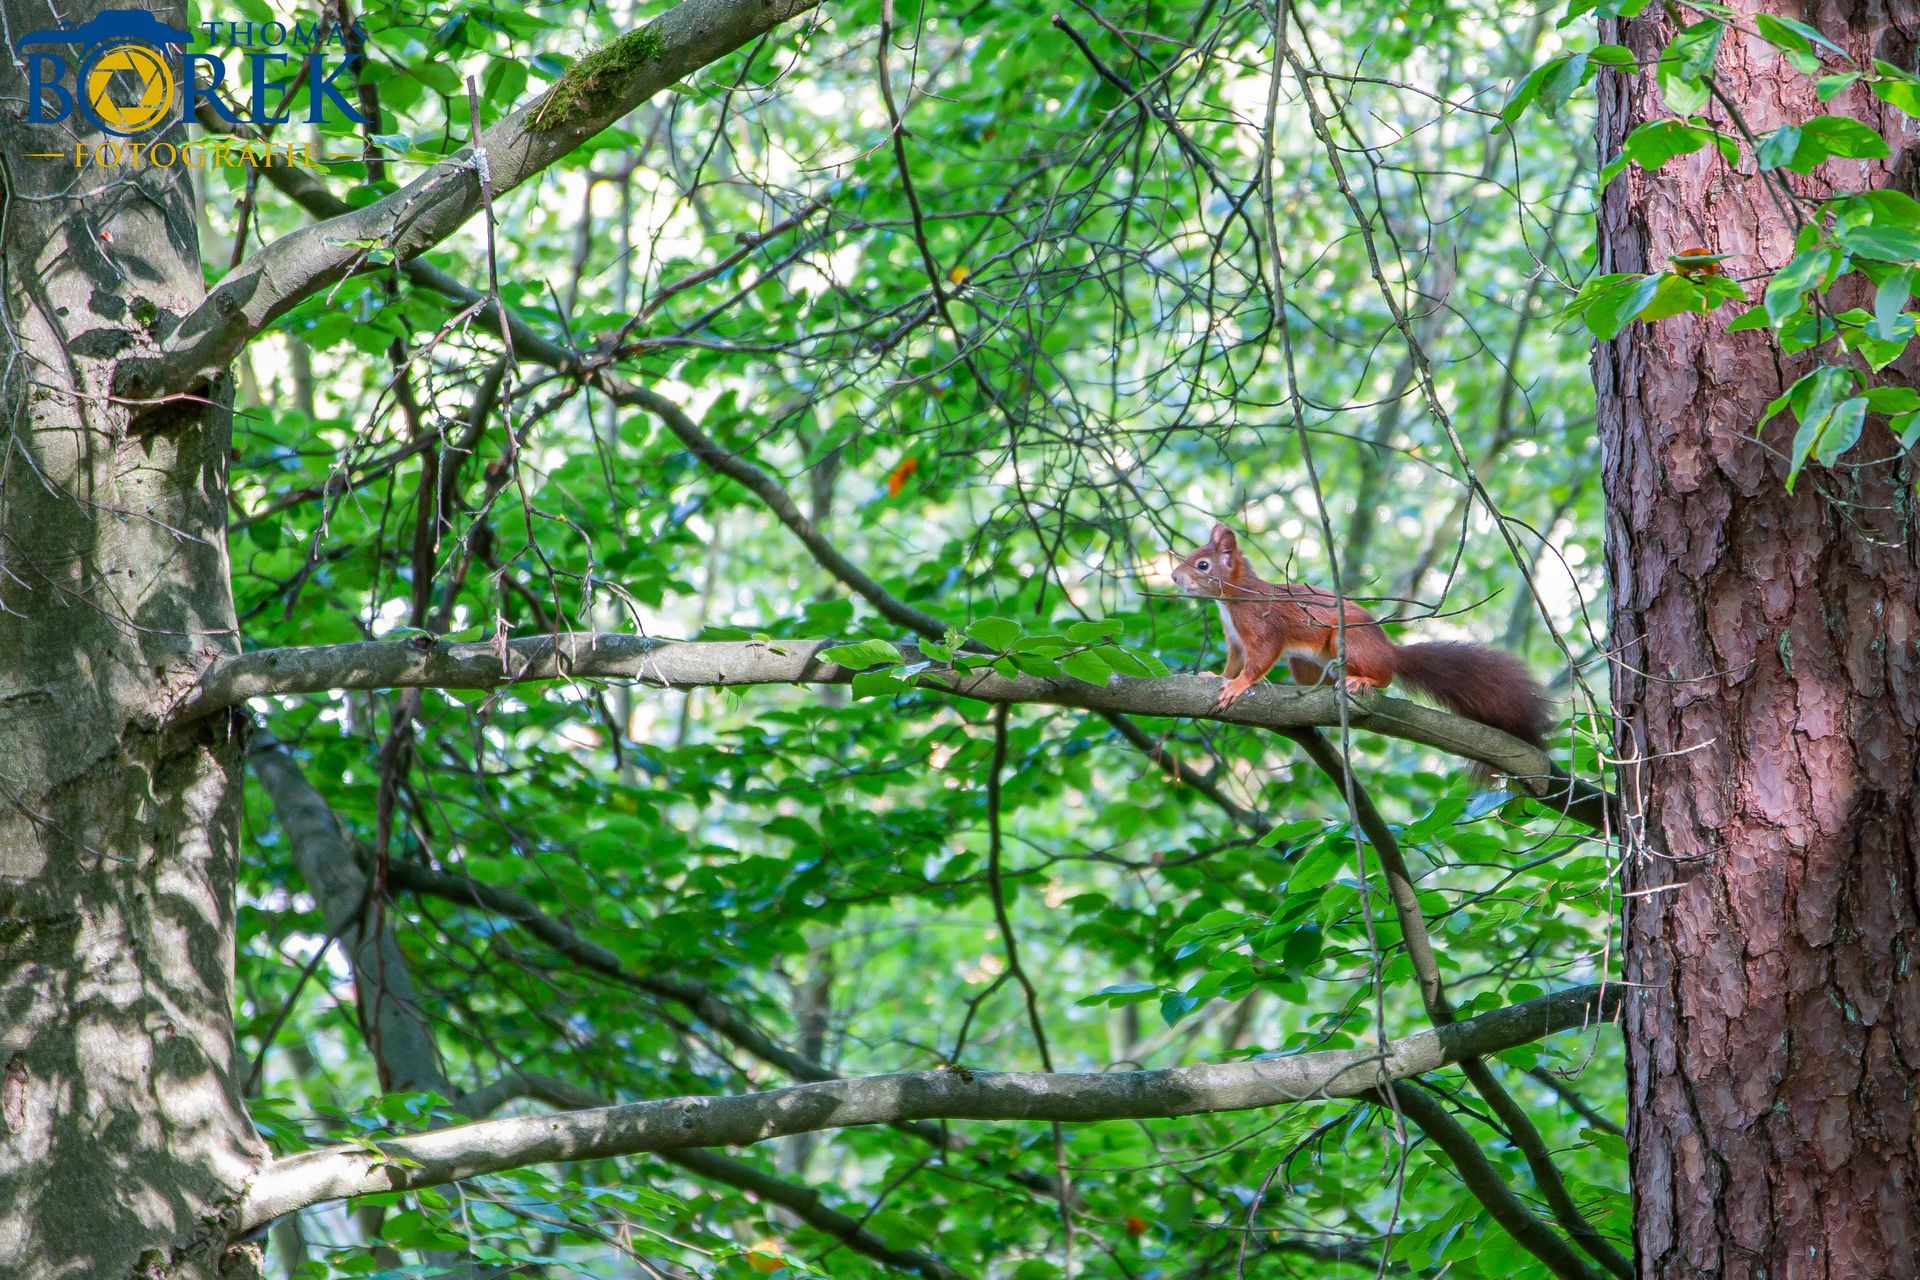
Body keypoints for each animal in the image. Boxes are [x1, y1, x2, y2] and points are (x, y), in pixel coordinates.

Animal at [1171, 522, 1549, 748]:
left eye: (1202, 565)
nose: (1174, 577)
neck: (1232, 599)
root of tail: (1388, 650)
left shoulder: (1262, 625)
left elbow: (1260, 657)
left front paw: (1239, 685)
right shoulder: (1234, 638)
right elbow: (1235, 660)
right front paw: (1217, 675)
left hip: (1347, 641)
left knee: (1386, 675)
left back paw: (1364, 679)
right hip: (1306, 661)